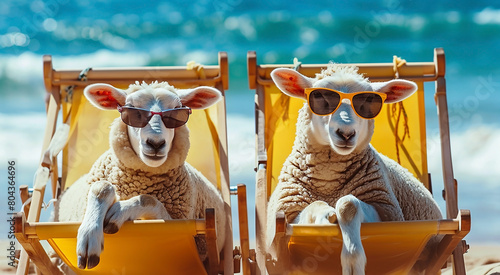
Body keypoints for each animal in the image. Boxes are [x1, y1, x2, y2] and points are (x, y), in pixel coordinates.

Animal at [52, 81, 225, 270]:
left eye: (176, 111)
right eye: (132, 110)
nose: (155, 143)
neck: (138, 183)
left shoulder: (179, 226)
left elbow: (148, 199)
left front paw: (121, 209)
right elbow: (102, 187)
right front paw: (89, 234)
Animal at [266, 63, 442, 274]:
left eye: (369, 100)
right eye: (319, 97)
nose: (346, 134)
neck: (328, 181)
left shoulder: (387, 213)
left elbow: (348, 204)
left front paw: (352, 261)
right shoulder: (289, 214)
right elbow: (315, 206)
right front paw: (324, 218)